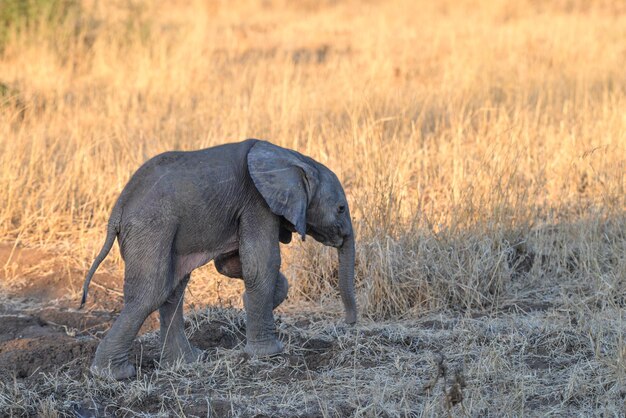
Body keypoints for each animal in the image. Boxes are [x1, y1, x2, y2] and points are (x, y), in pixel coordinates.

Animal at [81, 140, 356, 378]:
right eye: (341, 208)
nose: (349, 323)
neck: (296, 159)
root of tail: (117, 211)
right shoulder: (257, 203)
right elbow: (261, 263)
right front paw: (269, 354)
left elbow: (231, 264)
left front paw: (252, 301)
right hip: (151, 228)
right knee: (151, 293)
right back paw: (113, 375)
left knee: (173, 289)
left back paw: (185, 362)